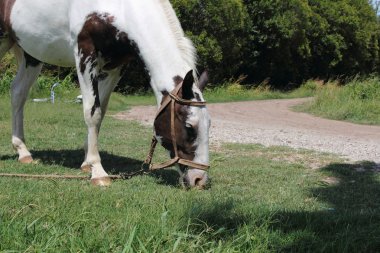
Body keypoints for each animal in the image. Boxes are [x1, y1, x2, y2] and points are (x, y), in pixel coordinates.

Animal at [0, 0, 211, 188]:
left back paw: (23, 152)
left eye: (209, 125)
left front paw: (87, 163)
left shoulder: (115, 66)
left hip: (30, 56)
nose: (199, 180)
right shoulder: (85, 54)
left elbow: (100, 112)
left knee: (18, 93)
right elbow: (92, 112)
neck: (121, 8)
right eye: (189, 127)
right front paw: (98, 172)